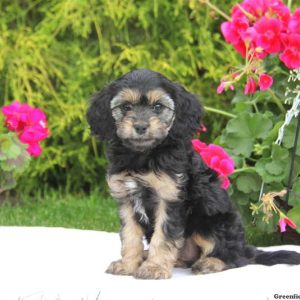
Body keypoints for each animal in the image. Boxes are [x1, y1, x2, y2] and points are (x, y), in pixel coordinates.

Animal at [86, 69, 300, 280]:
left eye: (158, 107)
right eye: (126, 107)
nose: (140, 126)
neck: (143, 155)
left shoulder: (169, 197)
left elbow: (163, 236)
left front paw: (154, 268)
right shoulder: (126, 199)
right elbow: (130, 236)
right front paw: (128, 265)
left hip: (208, 223)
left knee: (235, 257)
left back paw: (210, 263)